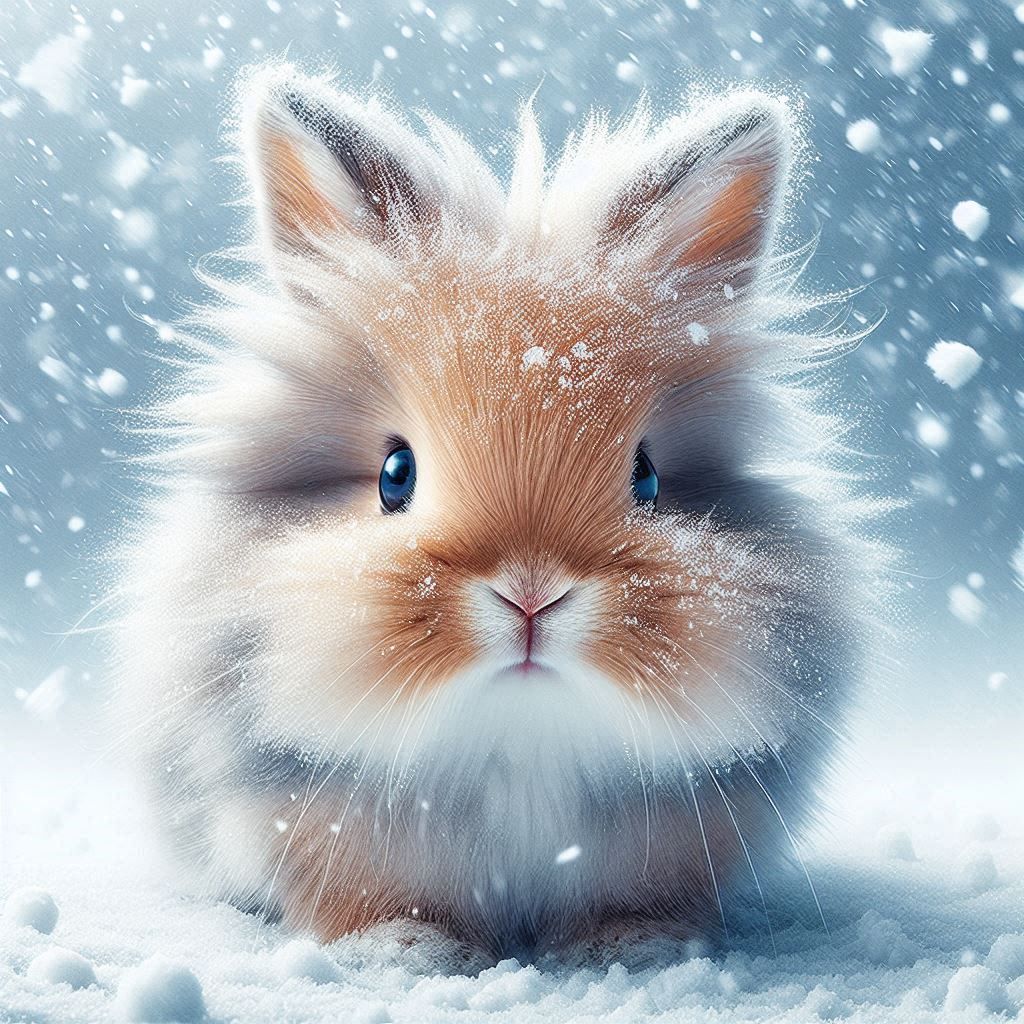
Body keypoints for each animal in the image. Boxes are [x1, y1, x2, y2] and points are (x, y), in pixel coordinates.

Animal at [117, 62, 883, 960]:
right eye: (396, 475)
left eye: (649, 479)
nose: (530, 595)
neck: (520, 742)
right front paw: (406, 952)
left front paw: (633, 947)